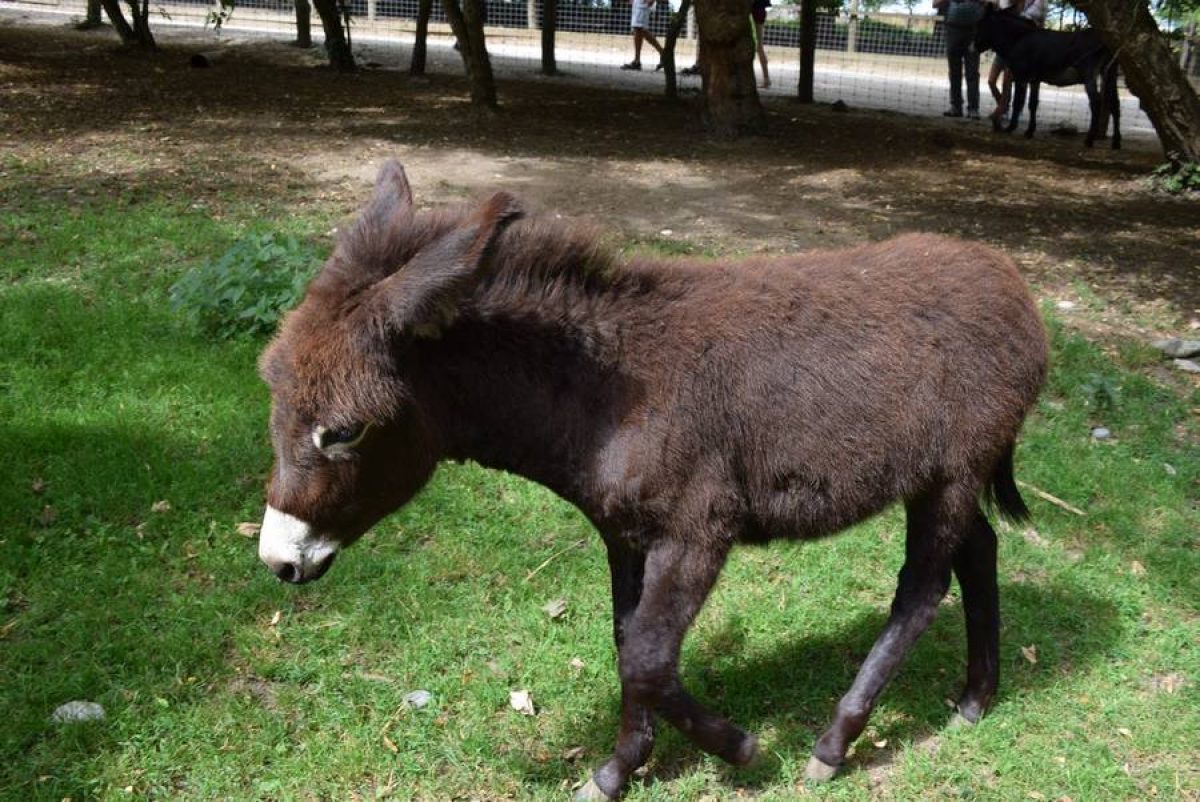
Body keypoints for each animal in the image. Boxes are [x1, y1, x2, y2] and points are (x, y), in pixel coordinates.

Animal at [258, 159, 1046, 797]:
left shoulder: (697, 532)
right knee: (979, 550)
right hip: (938, 476)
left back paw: (835, 742)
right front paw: (618, 770)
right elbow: (626, 639)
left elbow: (643, 657)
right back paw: (976, 698)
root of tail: (1010, 280)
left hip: (951, 473)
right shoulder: (623, 533)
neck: (599, 397)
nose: (277, 561)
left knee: (922, 590)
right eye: (271, 392)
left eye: (343, 431)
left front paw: (741, 749)